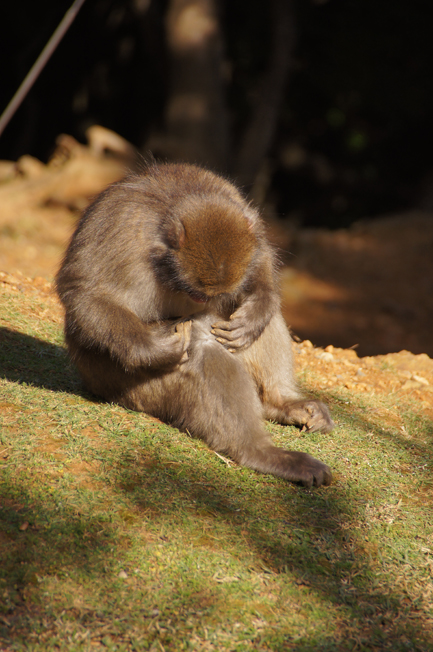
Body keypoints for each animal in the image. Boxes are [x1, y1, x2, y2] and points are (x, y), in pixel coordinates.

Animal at [56, 163, 334, 488]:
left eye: (206, 295)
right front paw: (156, 351)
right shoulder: (120, 226)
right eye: (197, 294)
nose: (205, 303)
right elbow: (84, 292)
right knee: (201, 347)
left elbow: (260, 261)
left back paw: (279, 402)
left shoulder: (238, 205)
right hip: (128, 387)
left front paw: (256, 311)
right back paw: (258, 453)